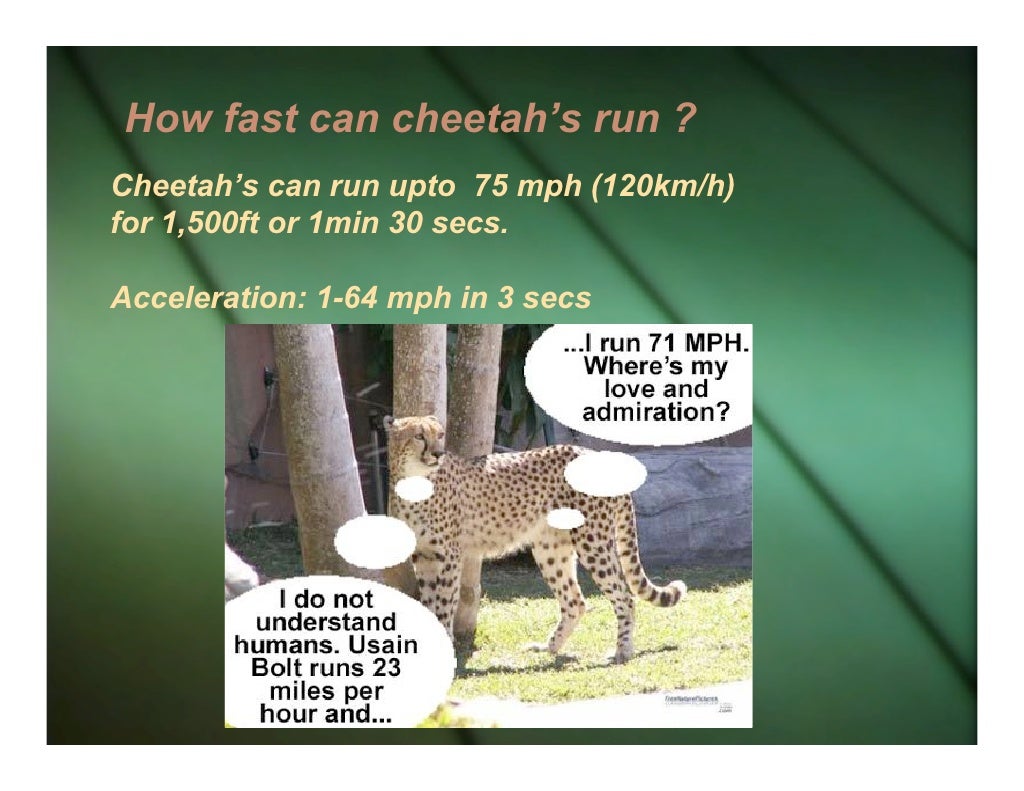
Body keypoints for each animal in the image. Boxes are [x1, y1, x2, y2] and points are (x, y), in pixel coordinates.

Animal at [385, 415, 686, 664]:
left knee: (624, 594)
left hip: (593, 542)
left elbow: (444, 604)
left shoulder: (448, 556)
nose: (438, 453)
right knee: (575, 601)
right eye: (419, 435)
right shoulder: (423, 556)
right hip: (550, 548)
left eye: (439, 434)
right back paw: (549, 648)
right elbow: (429, 602)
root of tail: (593, 452)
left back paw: (623, 650)